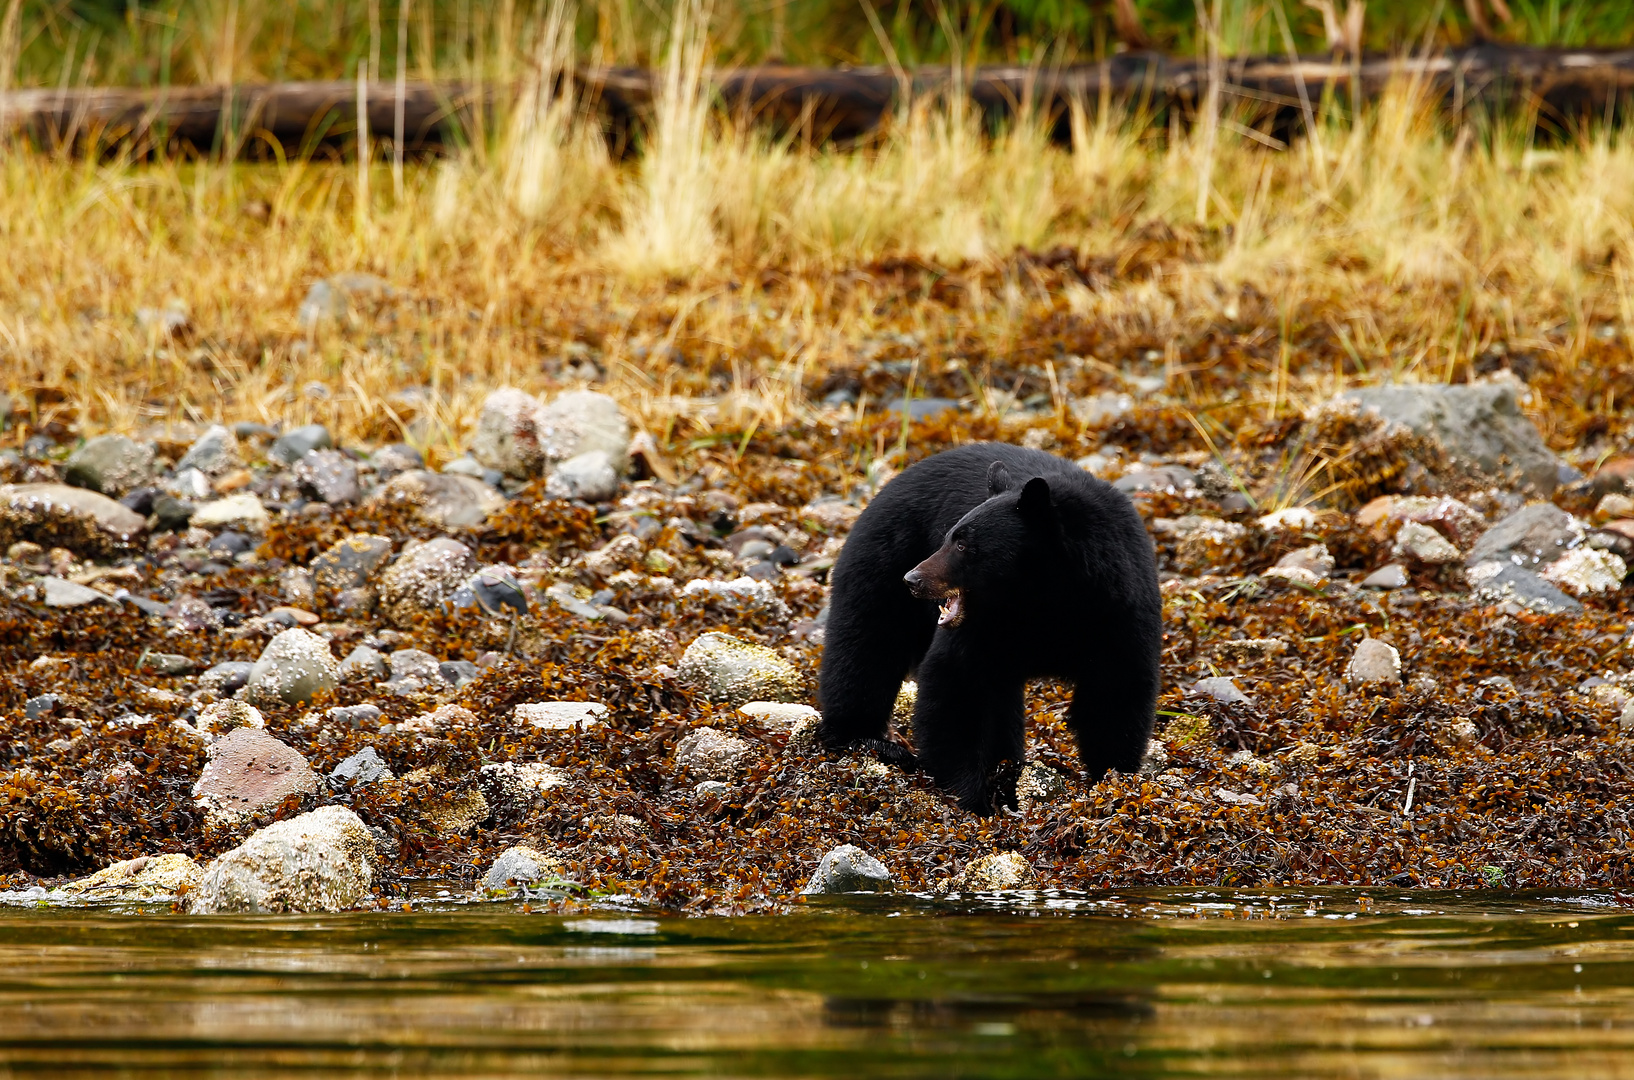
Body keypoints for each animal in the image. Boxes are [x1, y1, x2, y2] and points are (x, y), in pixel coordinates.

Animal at [817, 441, 1163, 813]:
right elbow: (955, 681)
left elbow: (1116, 692)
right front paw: (970, 798)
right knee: (864, 646)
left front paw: (1114, 783)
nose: (913, 579)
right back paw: (865, 740)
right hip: (879, 561)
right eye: (947, 537)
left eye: (963, 544)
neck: (1043, 601)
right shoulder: (981, 625)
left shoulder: (1119, 612)